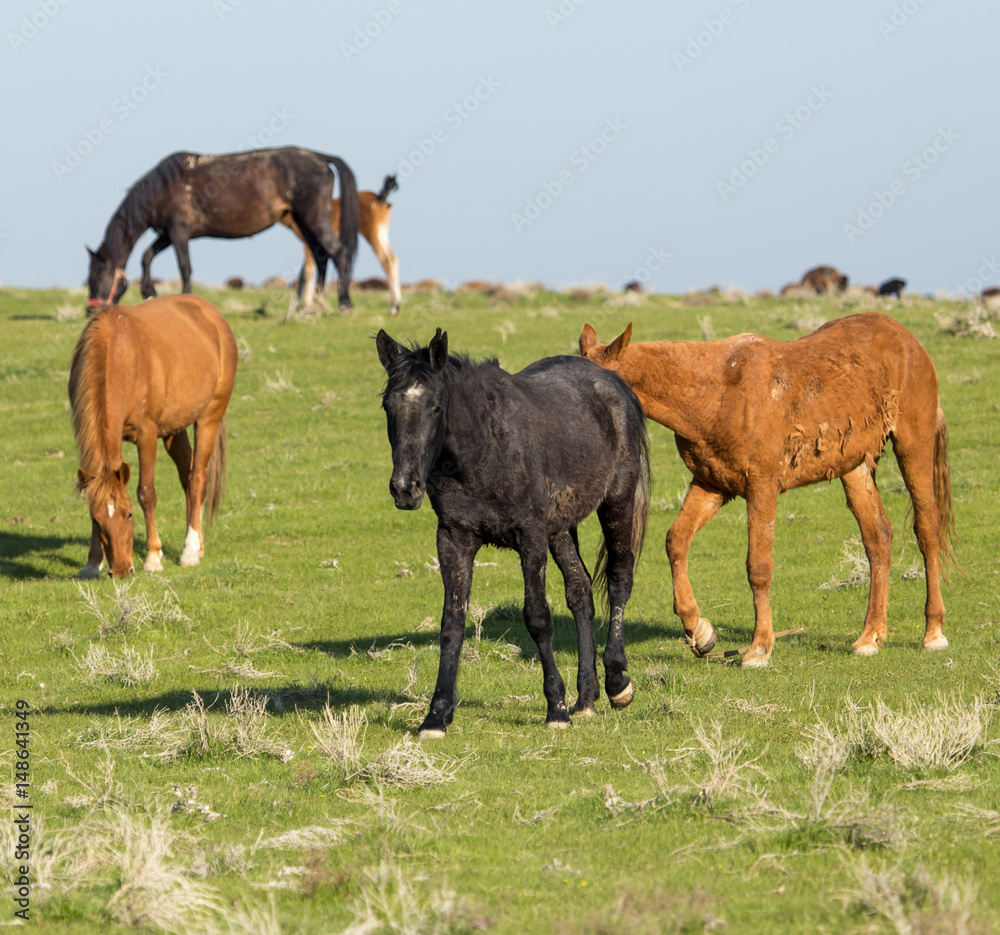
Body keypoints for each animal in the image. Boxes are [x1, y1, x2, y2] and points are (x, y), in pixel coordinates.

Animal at [69, 298, 238, 576]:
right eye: (97, 520)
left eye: (128, 514)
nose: (122, 570)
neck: (118, 356)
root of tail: (212, 314)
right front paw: (92, 562)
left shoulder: (146, 434)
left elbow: (146, 493)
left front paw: (152, 557)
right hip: (174, 430)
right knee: (188, 477)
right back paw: (198, 545)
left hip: (209, 417)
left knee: (197, 479)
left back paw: (190, 550)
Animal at [86, 144, 360, 308]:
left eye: (99, 276)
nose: (91, 311)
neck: (162, 187)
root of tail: (320, 158)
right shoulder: (166, 235)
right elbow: (146, 256)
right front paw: (149, 291)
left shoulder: (179, 233)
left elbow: (185, 267)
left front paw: (186, 298)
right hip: (304, 222)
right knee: (321, 255)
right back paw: (315, 303)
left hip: (313, 218)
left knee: (339, 253)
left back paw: (344, 303)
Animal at [284, 176, 400, 318]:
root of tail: (380, 198)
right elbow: (304, 273)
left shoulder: (308, 244)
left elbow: (307, 272)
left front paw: (306, 307)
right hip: (382, 235)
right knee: (393, 259)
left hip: (372, 234)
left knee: (386, 261)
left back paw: (394, 308)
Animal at [584, 314, 956, 664]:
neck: (716, 393)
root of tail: (907, 339)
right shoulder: (711, 484)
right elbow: (676, 541)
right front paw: (699, 629)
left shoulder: (762, 487)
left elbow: (759, 567)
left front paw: (759, 648)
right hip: (855, 467)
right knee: (878, 538)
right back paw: (870, 637)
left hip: (913, 447)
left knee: (927, 531)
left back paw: (933, 632)